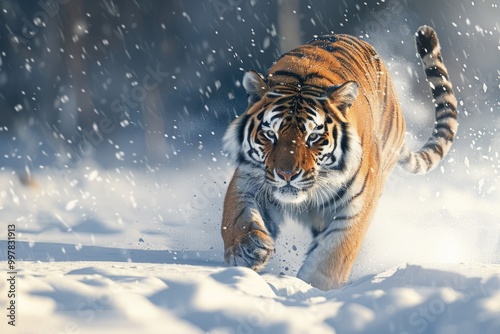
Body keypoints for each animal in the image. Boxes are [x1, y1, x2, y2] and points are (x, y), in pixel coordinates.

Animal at [221, 26, 458, 290]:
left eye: (313, 137)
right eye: (270, 134)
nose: (286, 175)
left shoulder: (358, 203)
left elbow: (335, 254)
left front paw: (314, 288)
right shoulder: (248, 179)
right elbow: (237, 216)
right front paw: (247, 250)